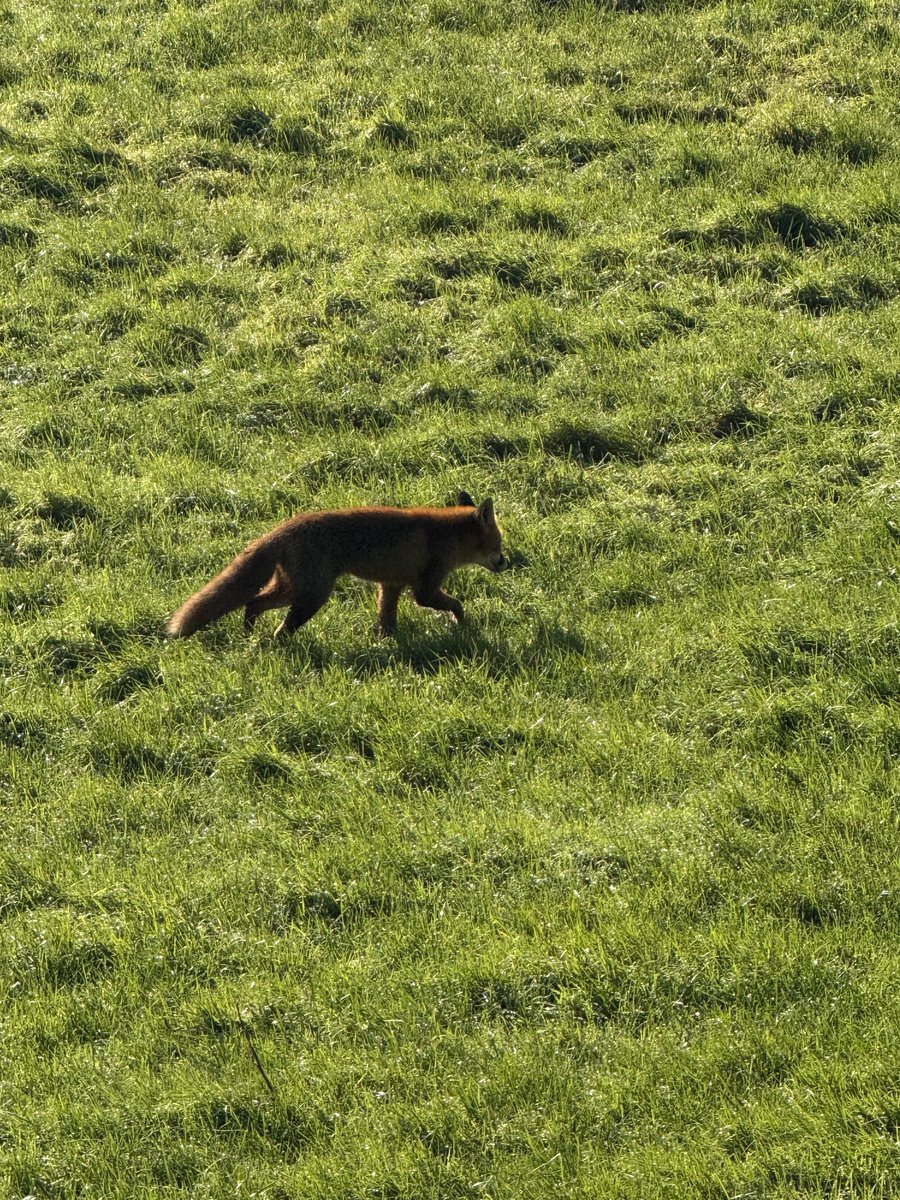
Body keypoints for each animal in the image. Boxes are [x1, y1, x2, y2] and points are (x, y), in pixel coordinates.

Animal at [166, 492, 508, 640]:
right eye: (499, 545)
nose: (508, 562)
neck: (445, 536)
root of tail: (285, 528)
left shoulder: (391, 584)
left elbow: (387, 619)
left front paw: (388, 643)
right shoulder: (424, 588)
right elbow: (456, 603)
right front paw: (461, 624)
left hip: (293, 589)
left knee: (252, 602)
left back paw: (249, 634)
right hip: (312, 595)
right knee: (278, 627)